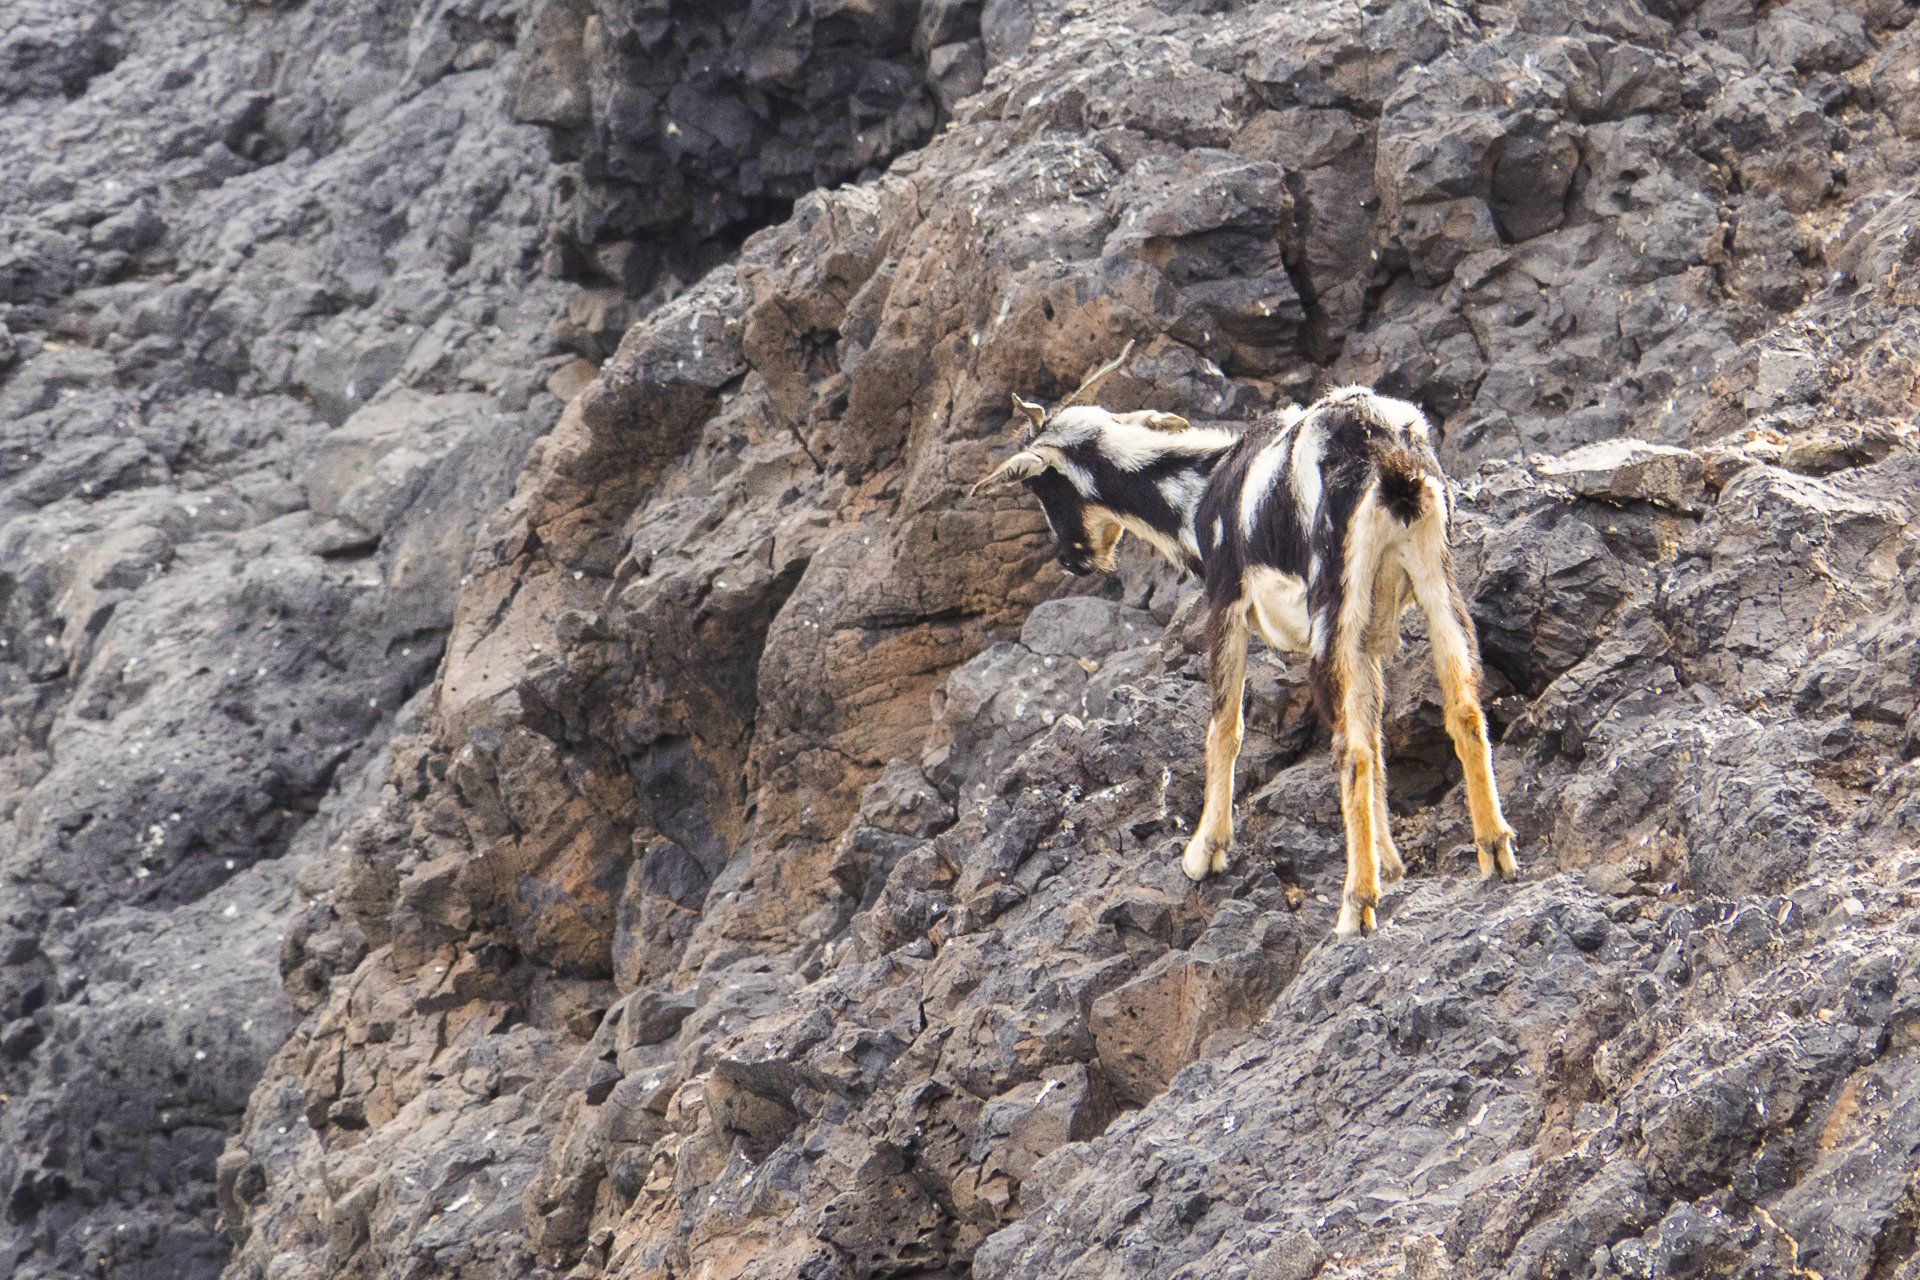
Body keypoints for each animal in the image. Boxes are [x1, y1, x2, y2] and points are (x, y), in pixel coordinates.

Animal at [972, 348, 1517, 936]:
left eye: (1039, 487)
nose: (1072, 560)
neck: (1202, 490)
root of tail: (1387, 448)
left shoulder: (1225, 602)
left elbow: (1225, 728)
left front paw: (1205, 851)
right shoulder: (1369, 638)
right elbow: (1377, 735)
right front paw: (1392, 865)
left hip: (1332, 602)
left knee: (1348, 751)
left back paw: (1355, 906)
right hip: (1435, 580)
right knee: (1462, 709)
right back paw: (1494, 851)